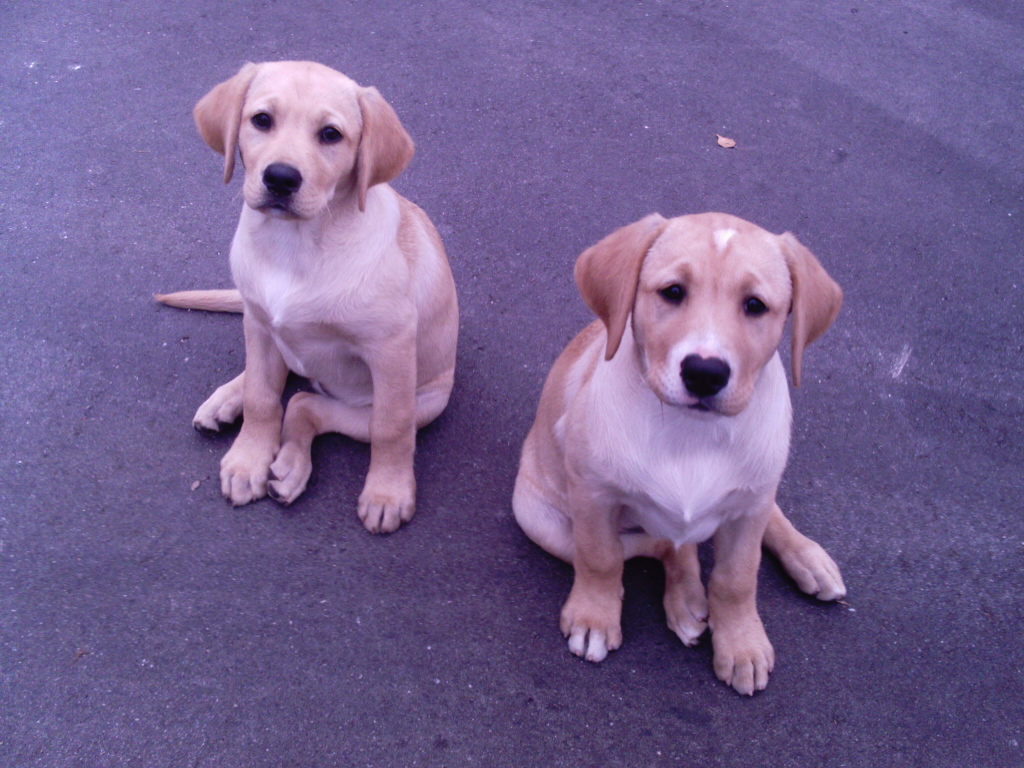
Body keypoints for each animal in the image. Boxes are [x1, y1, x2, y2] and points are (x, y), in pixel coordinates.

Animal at [157, 61, 458, 536]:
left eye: (331, 134)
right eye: (262, 120)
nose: (280, 178)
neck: (295, 244)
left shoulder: (391, 350)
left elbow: (392, 428)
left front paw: (387, 493)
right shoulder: (260, 324)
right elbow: (263, 397)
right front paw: (249, 459)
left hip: (421, 401)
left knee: (304, 404)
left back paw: (290, 466)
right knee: (281, 386)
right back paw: (229, 402)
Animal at [516, 211, 843, 696]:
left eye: (755, 305)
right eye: (672, 292)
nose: (705, 372)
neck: (691, 433)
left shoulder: (748, 513)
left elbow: (737, 578)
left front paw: (742, 643)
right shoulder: (593, 496)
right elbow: (600, 557)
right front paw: (594, 617)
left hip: (759, 487)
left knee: (759, 516)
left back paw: (808, 558)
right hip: (539, 519)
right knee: (657, 545)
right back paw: (686, 598)